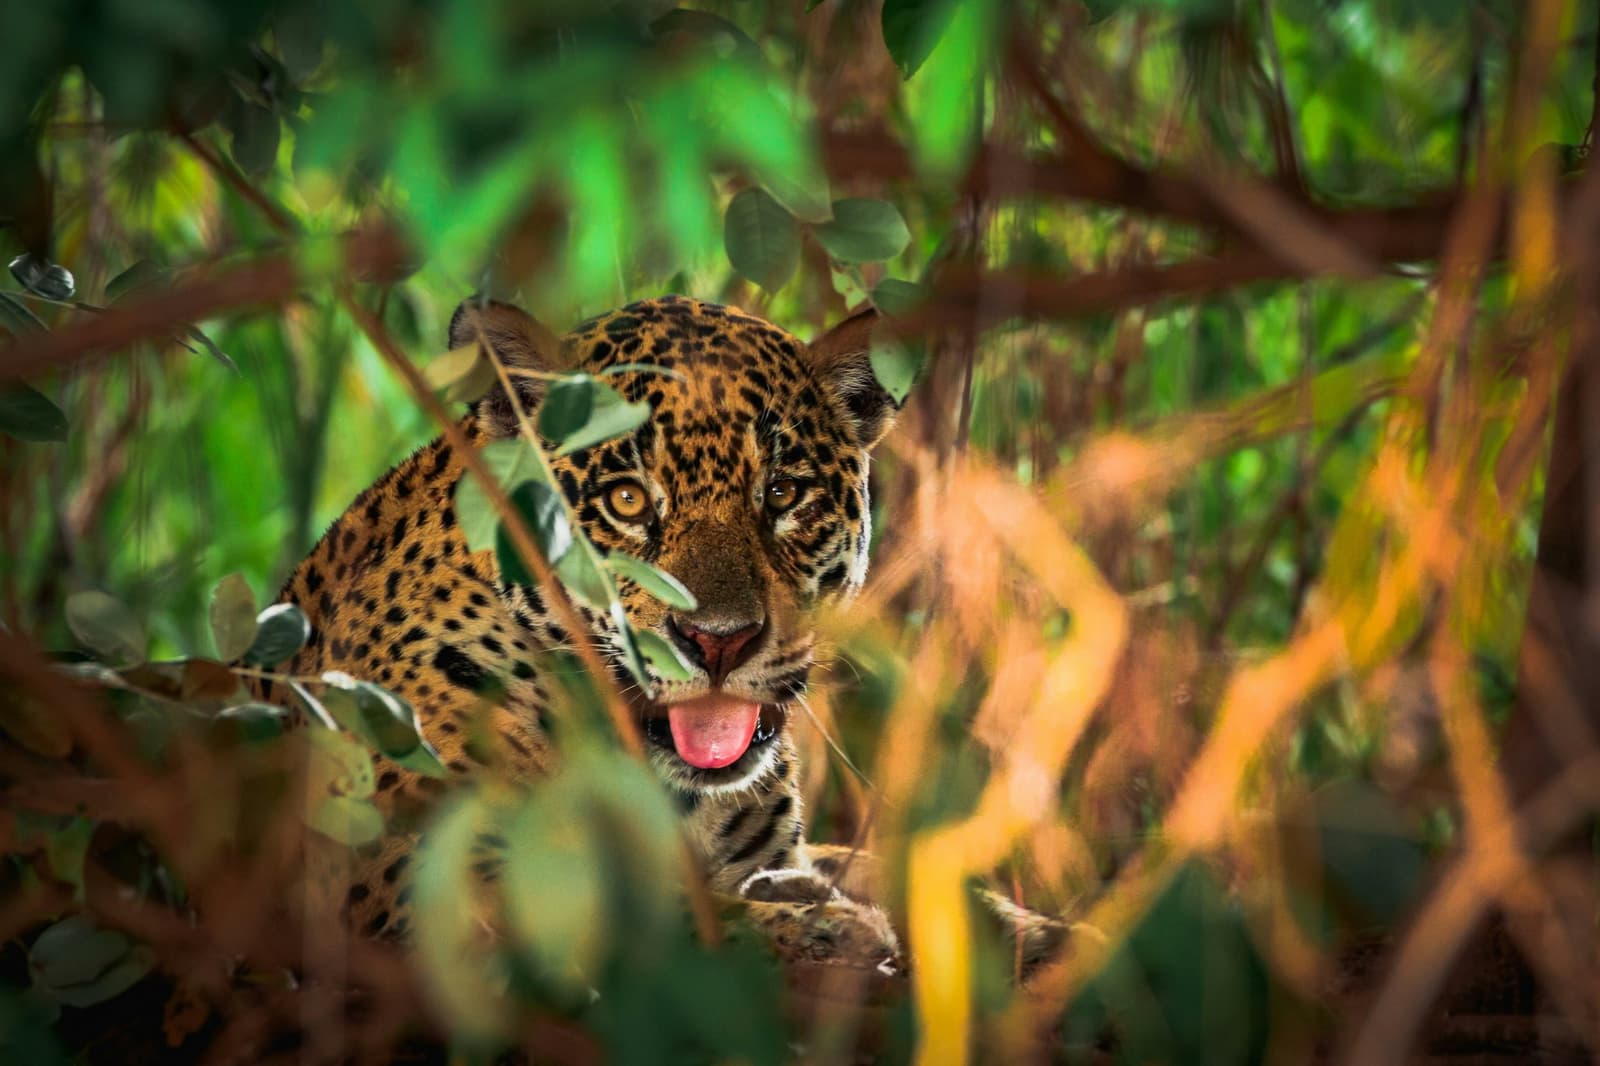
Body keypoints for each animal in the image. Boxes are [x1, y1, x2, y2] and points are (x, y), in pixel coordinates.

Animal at [261, 293, 908, 970]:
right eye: (626, 501)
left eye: (783, 493)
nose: (718, 641)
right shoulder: (412, 864)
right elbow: (657, 916)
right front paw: (828, 929)